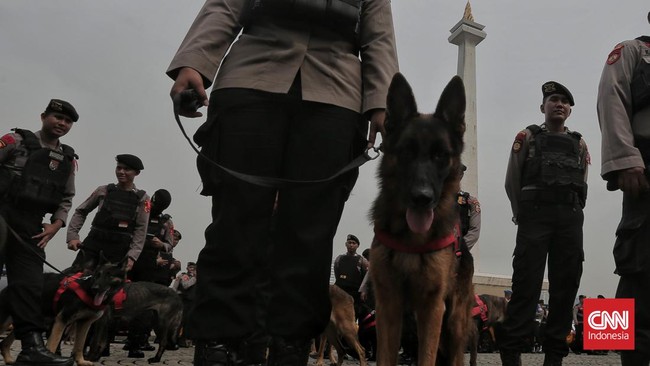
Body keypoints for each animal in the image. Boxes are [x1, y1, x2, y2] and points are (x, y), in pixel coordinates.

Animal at [370, 73, 470, 364]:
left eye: (440, 155)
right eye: (406, 152)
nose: (422, 198)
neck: (411, 241)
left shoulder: (432, 307)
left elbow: (426, 357)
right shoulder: (387, 306)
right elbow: (385, 357)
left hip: (455, 323)